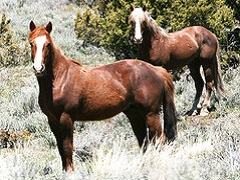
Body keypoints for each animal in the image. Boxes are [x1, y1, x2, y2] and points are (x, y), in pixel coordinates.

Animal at [29, 21, 177, 172]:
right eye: (31, 43)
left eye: (47, 44)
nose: (38, 68)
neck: (61, 78)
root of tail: (158, 70)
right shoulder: (52, 120)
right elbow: (60, 149)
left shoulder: (66, 117)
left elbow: (67, 147)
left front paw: (70, 172)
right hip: (135, 114)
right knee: (143, 141)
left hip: (151, 114)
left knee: (158, 140)